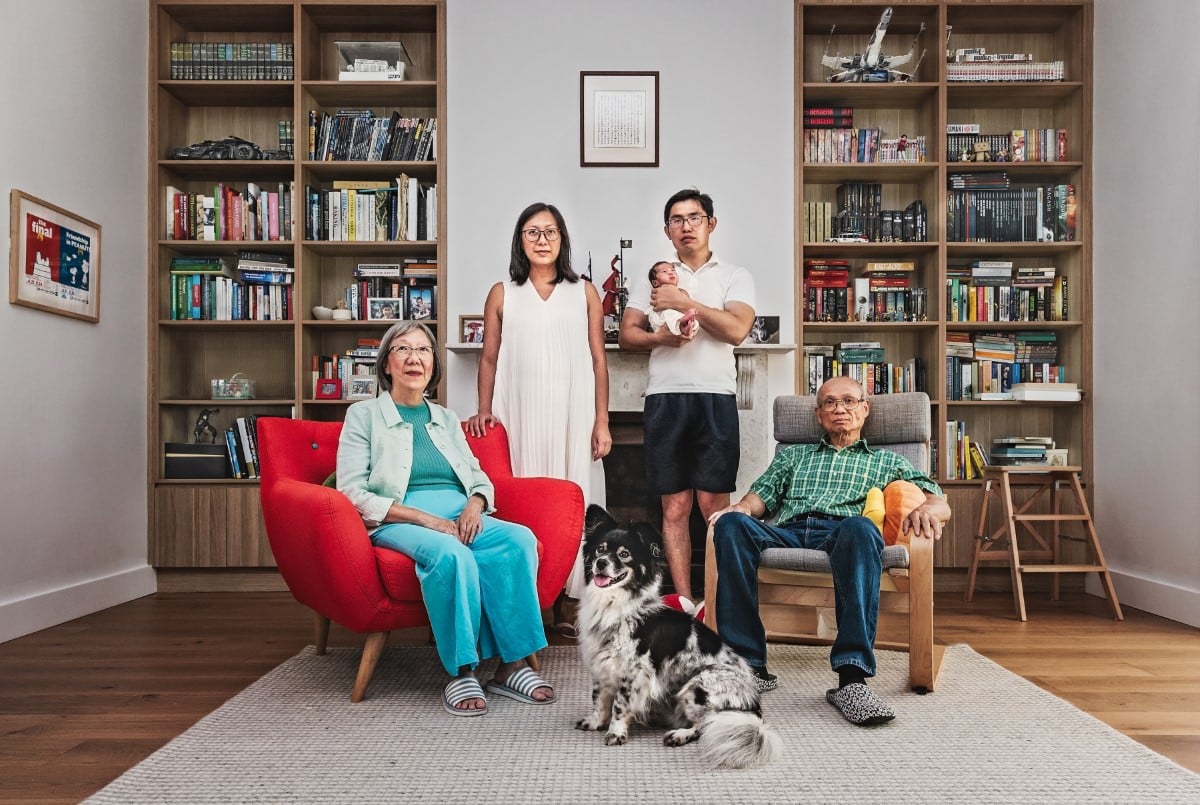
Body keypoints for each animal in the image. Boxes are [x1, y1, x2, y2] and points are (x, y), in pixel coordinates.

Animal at [576, 503, 782, 767]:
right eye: (600, 549)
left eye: (624, 554)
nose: (601, 563)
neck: (614, 605)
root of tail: (754, 709)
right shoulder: (602, 666)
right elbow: (599, 700)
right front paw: (595, 723)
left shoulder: (633, 673)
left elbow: (619, 706)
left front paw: (616, 732)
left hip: (698, 685)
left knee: (706, 725)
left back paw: (679, 735)